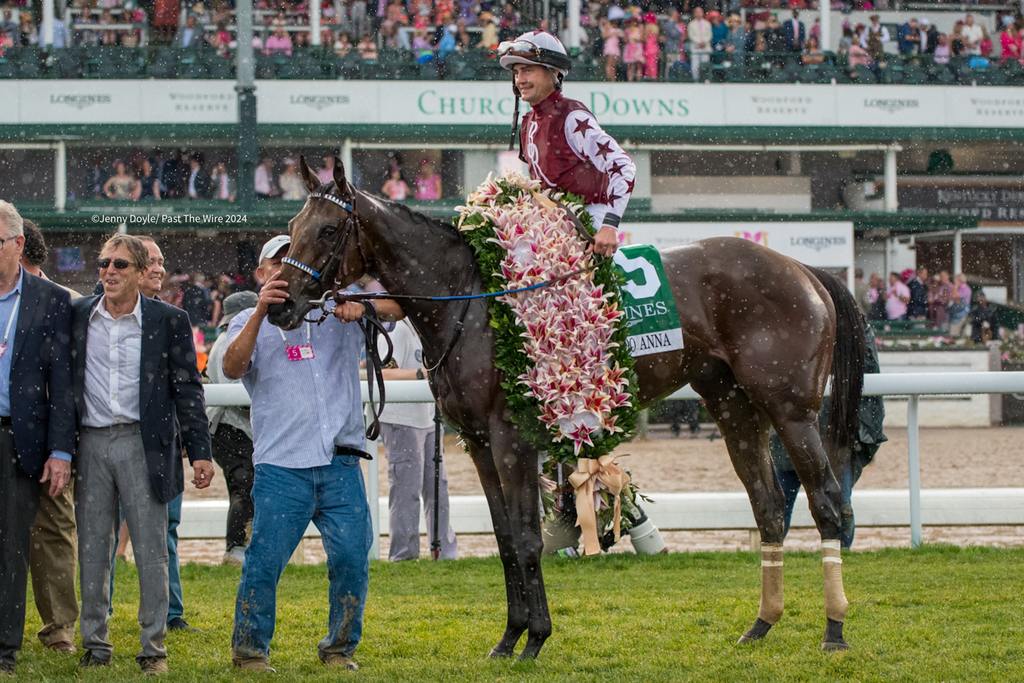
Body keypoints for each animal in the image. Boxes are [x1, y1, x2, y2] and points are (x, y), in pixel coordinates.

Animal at [268, 157, 868, 659]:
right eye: (294, 226)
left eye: (328, 230)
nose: (281, 305)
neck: (470, 301)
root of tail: (804, 269)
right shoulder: (478, 443)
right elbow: (505, 540)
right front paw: (508, 638)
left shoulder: (512, 438)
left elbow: (529, 537)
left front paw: (535, 639)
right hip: (734, 411)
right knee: (769, 507)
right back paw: (761, 624)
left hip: (792, 412)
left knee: (827, 504)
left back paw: (835, 630)